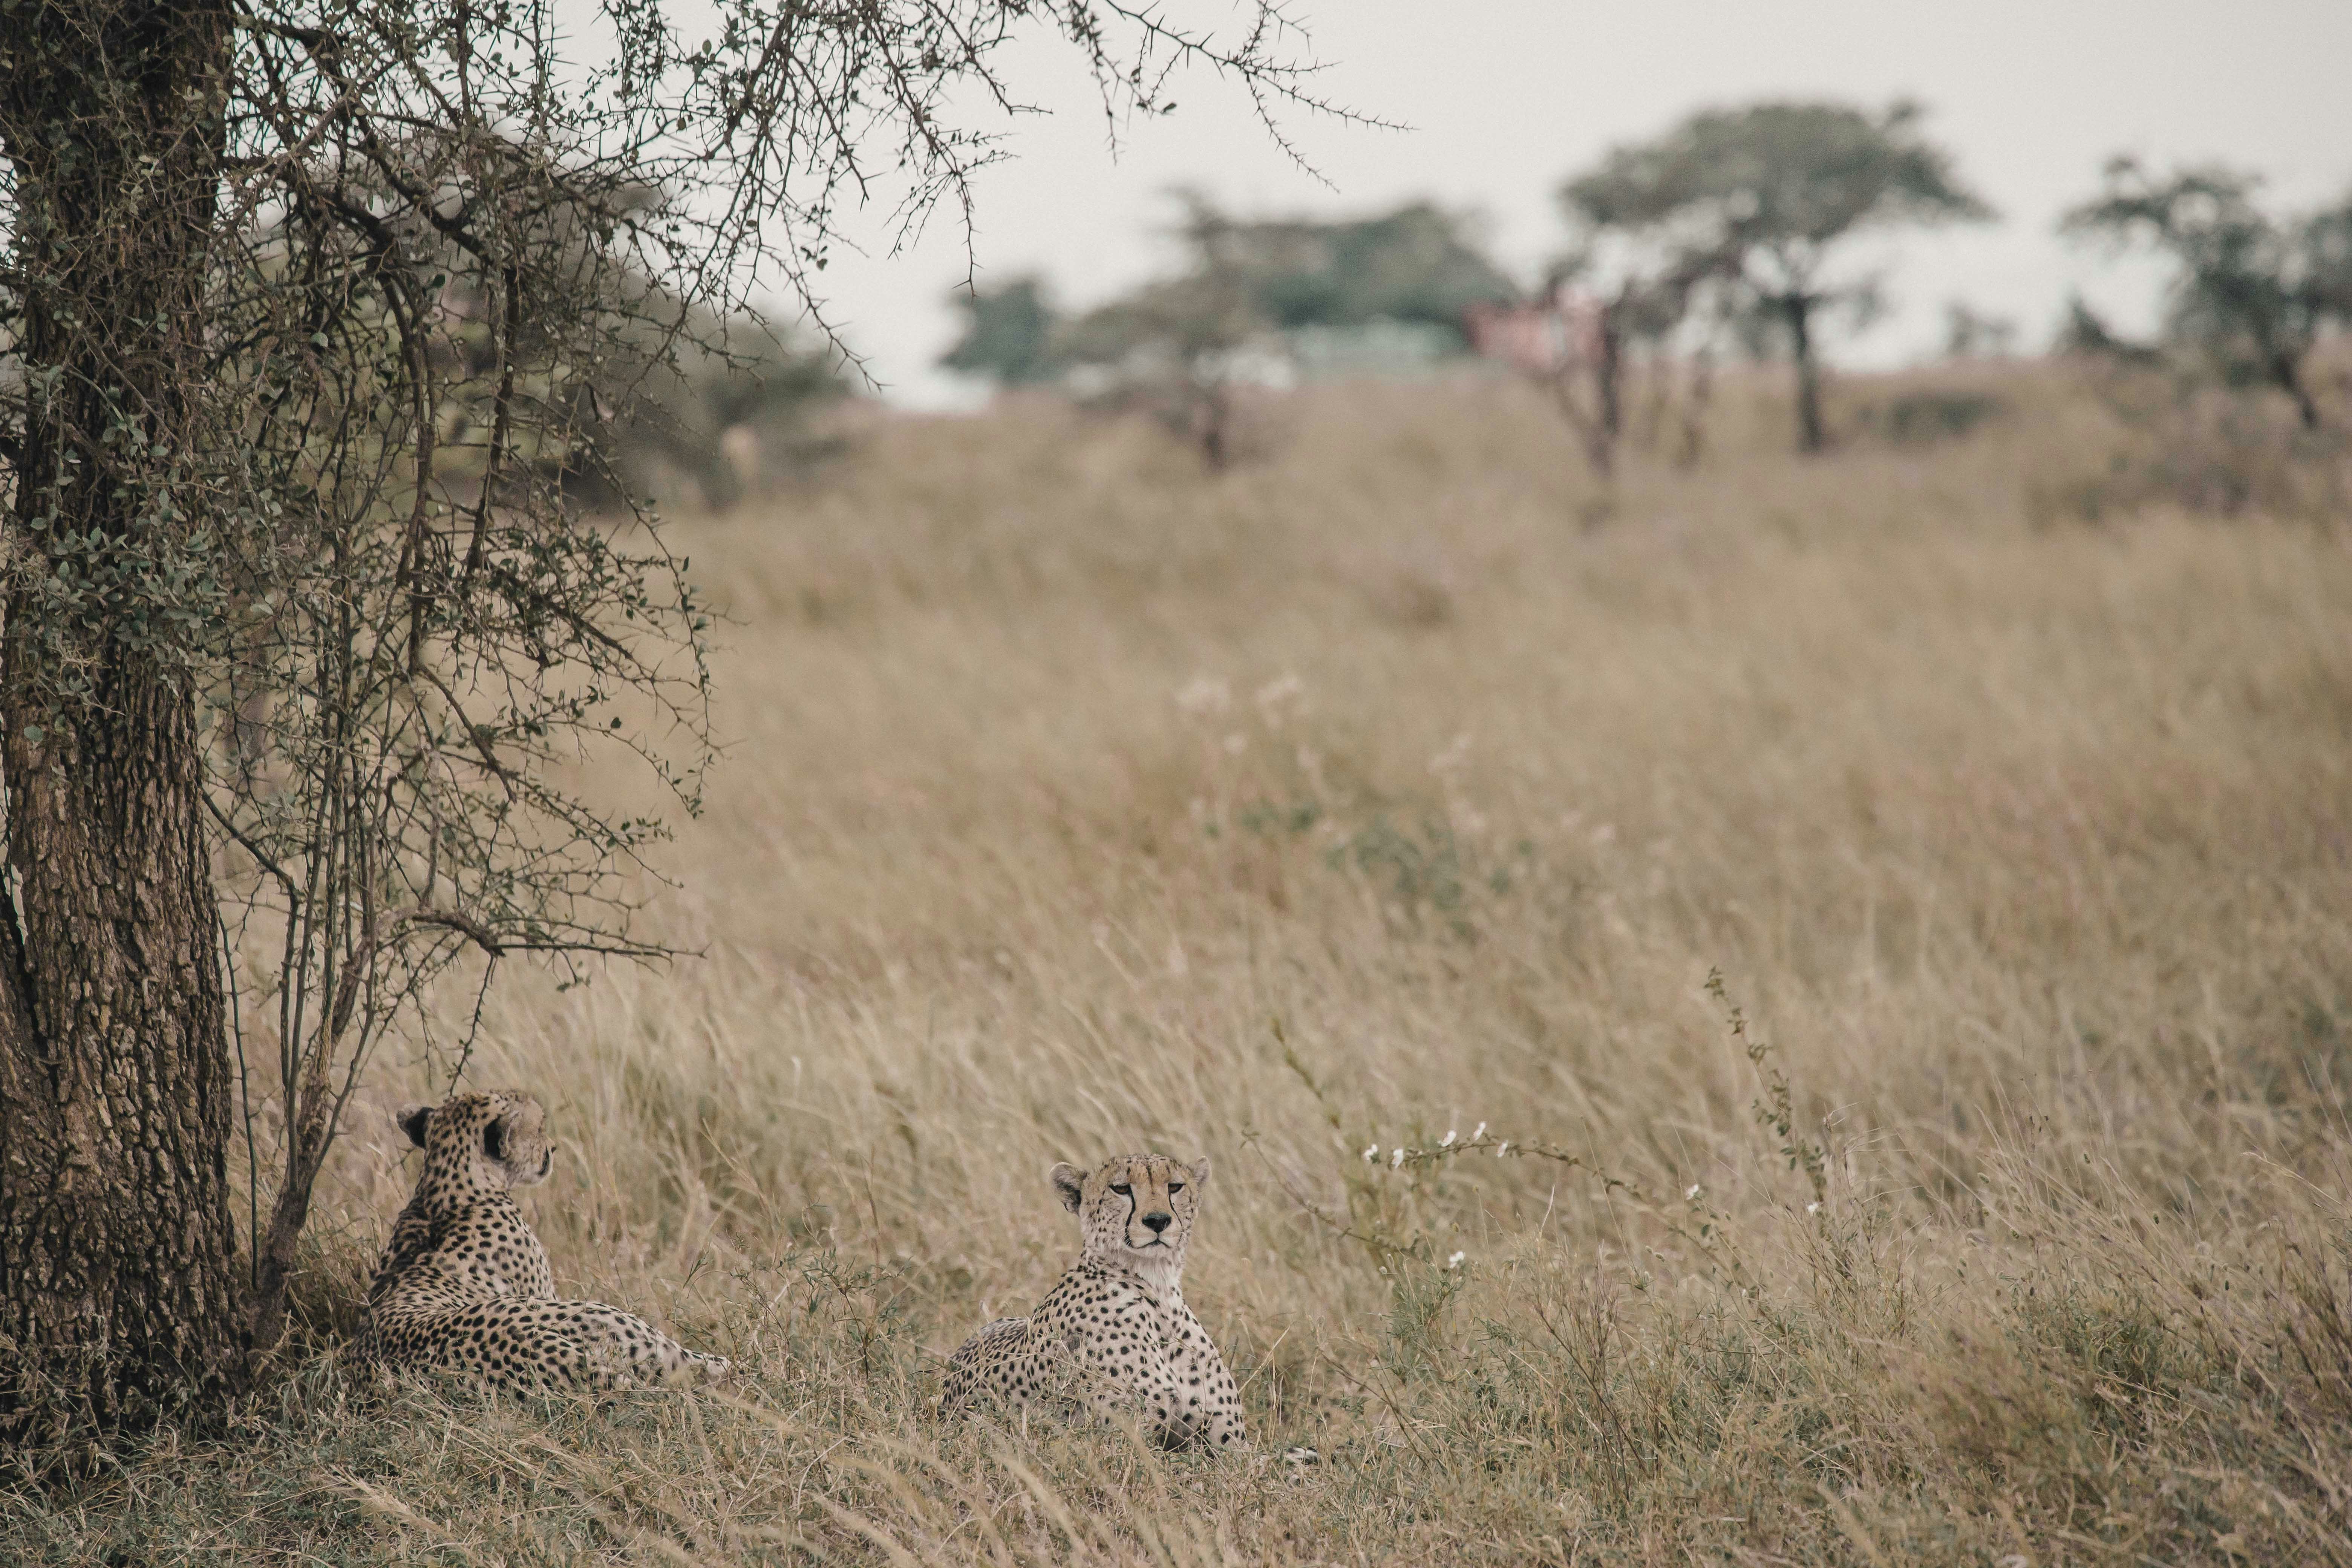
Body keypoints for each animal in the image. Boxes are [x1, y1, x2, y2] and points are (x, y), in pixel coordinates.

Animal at [941, 1153, 1246, 1451]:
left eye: (1175, 1187)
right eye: (1120, 1188)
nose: (1158, 1220)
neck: (1157, 1288)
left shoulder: (1234, 1449)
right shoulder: (1126, 1443)